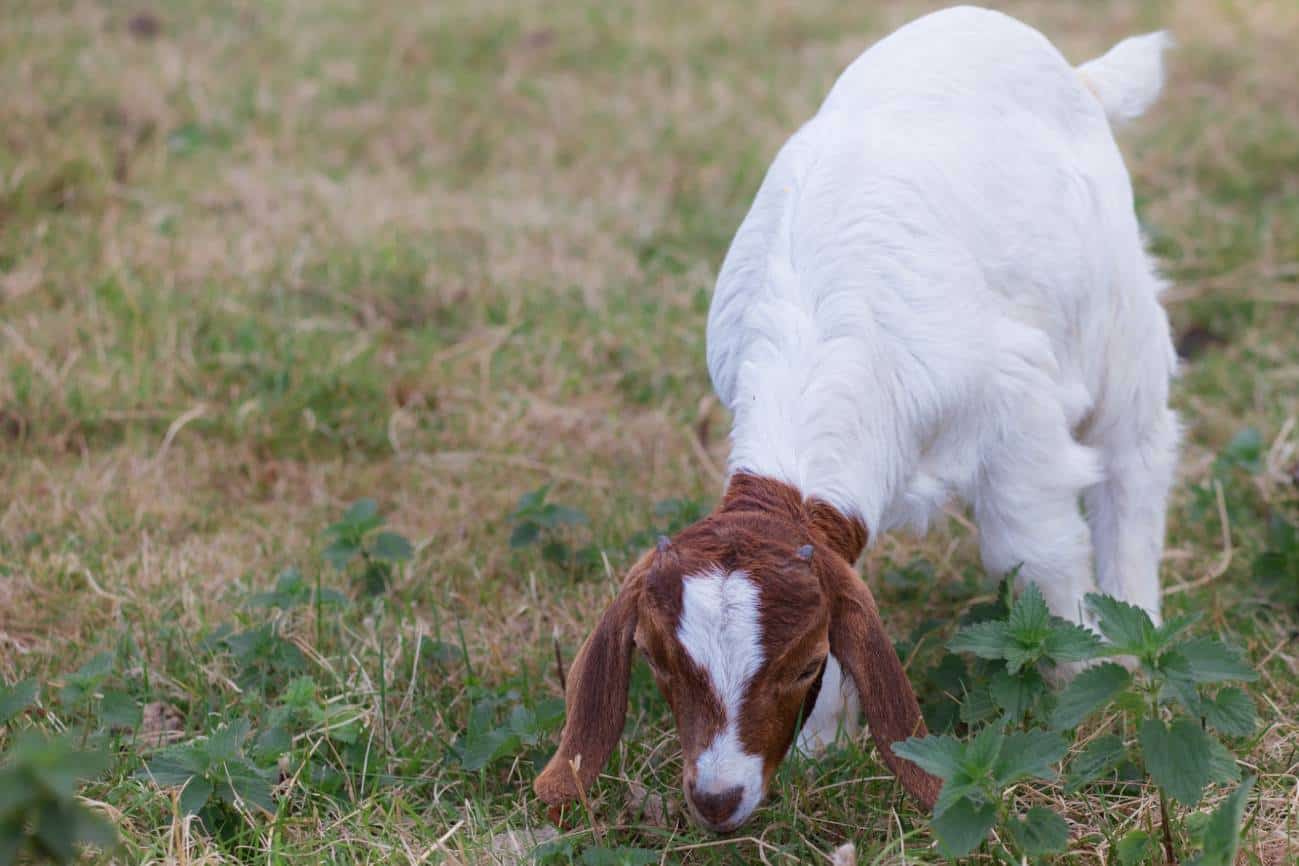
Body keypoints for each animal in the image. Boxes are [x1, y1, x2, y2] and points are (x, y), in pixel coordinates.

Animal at [536, 5, 1178, 833]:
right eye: (655, 657)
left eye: (803, 662)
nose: (717, 798)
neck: (822, 333)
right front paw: (827, 743)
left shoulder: (1018, 416)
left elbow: (1034, 551)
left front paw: (1081, 688)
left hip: (1114, 313)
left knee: (1135, 454)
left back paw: (1135, 633)